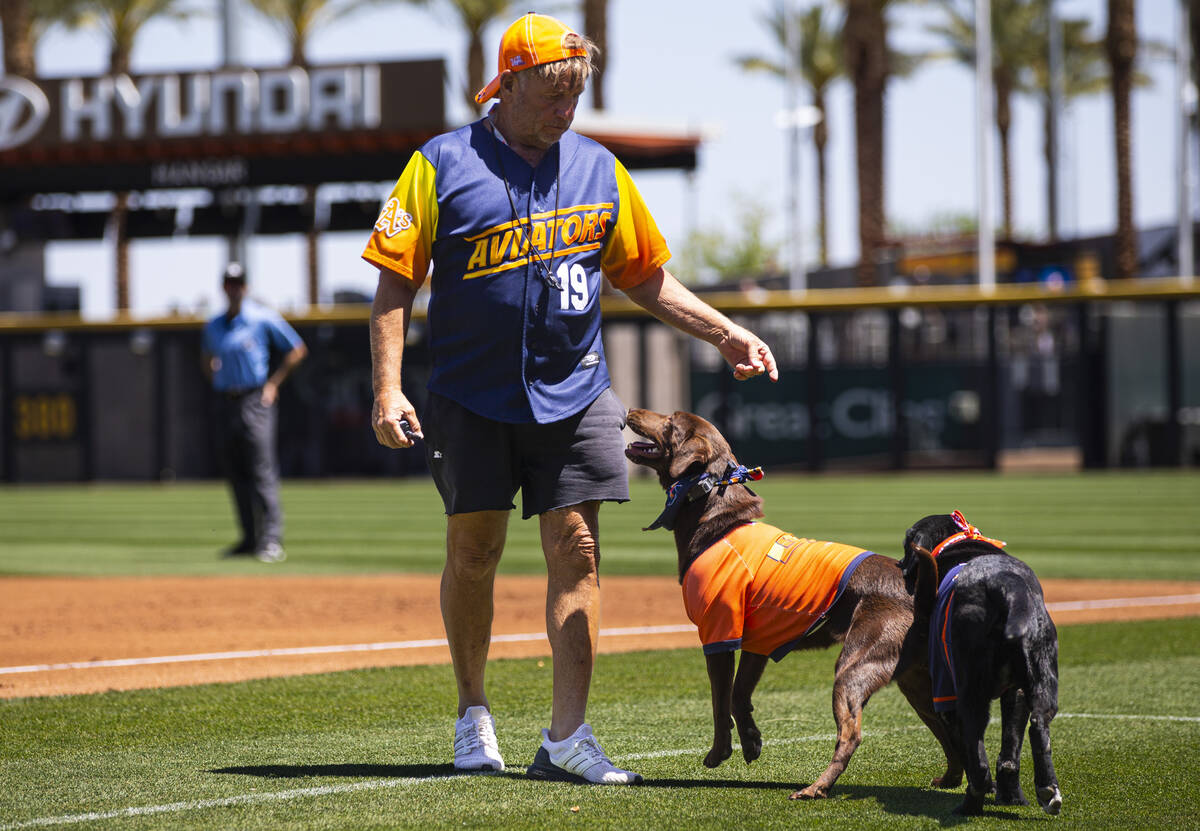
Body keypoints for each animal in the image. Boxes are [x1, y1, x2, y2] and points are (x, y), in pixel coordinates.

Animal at [624, 408, 960, 797]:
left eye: (670, 421)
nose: (631, 410)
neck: (717, 518)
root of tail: (920, 591)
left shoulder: (718, 634)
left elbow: (720, 701)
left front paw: (719, 752)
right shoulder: (759, 640)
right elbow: (739, 695)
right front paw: (751, 740)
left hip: (855, 667)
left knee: (852, 734)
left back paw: (817, 787)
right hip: (916, 679)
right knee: (949, 727)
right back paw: (952, 779)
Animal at [902, 509, 1060, 816]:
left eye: (905, 545)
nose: (899, 565)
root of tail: (1008, 587)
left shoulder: (946, 696)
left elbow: (966, 753)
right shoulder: (1014, 692)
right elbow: (1008, 755)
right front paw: (1011, 796)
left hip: (966, 693)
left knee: (978, 764)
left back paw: (970, 804)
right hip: (1039, 683)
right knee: (1035, 729)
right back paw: (1045, 790)